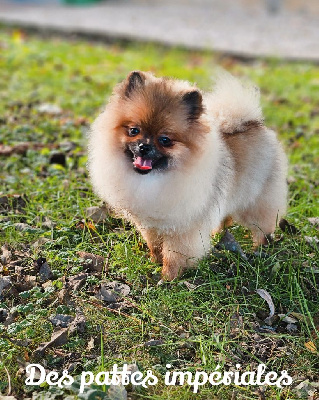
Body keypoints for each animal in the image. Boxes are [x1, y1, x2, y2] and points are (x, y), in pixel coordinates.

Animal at [89, 70, 288, 280]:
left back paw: (260, 248)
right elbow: (155, 245)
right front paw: (154, 260)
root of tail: (253, 123)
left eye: (165, 140)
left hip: (258, 200)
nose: (144, 147)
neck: (155, 179)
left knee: (263, 226)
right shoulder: (151, 223)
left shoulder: (182, 229)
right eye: (134, 130)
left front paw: (168, 277)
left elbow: (174, 255)